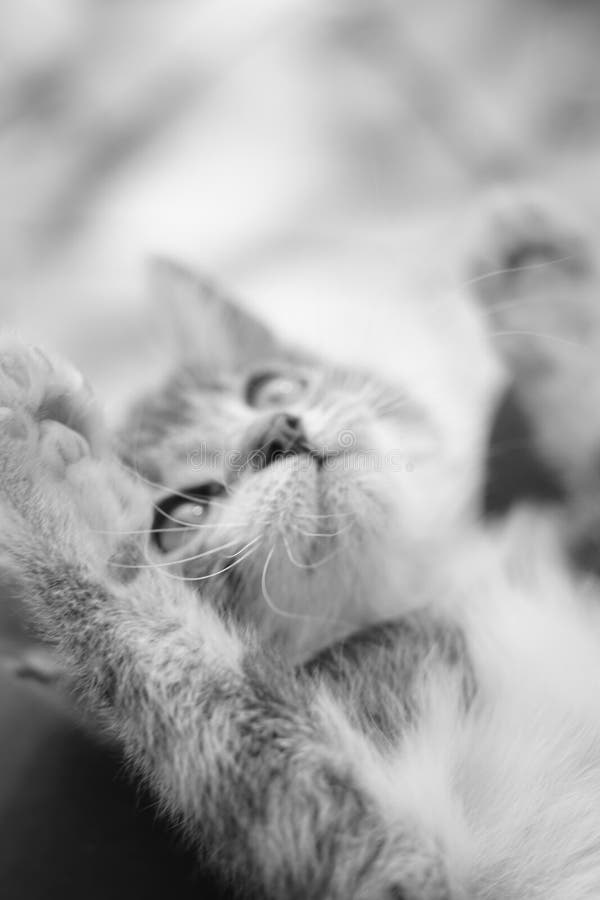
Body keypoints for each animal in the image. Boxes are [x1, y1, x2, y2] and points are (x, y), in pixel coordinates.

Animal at [3, 200, 600, 896]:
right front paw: (69, 490)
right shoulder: (380, 854)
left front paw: (552, 297)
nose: (277, 432)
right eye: (180, 513)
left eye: (270, 390)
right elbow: (225, 714)